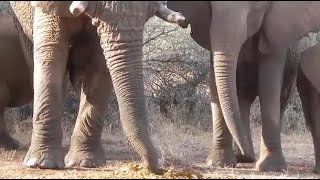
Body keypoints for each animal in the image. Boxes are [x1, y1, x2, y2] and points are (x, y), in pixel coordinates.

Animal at [166, 1, 320, 173]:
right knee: (243, 96)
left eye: (259, 5)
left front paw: (271, 168)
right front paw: (218, 163)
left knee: (280, 97)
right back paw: (241, 156)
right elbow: (216, 81)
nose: (248, 155)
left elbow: (270, 82)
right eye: (210, 4)